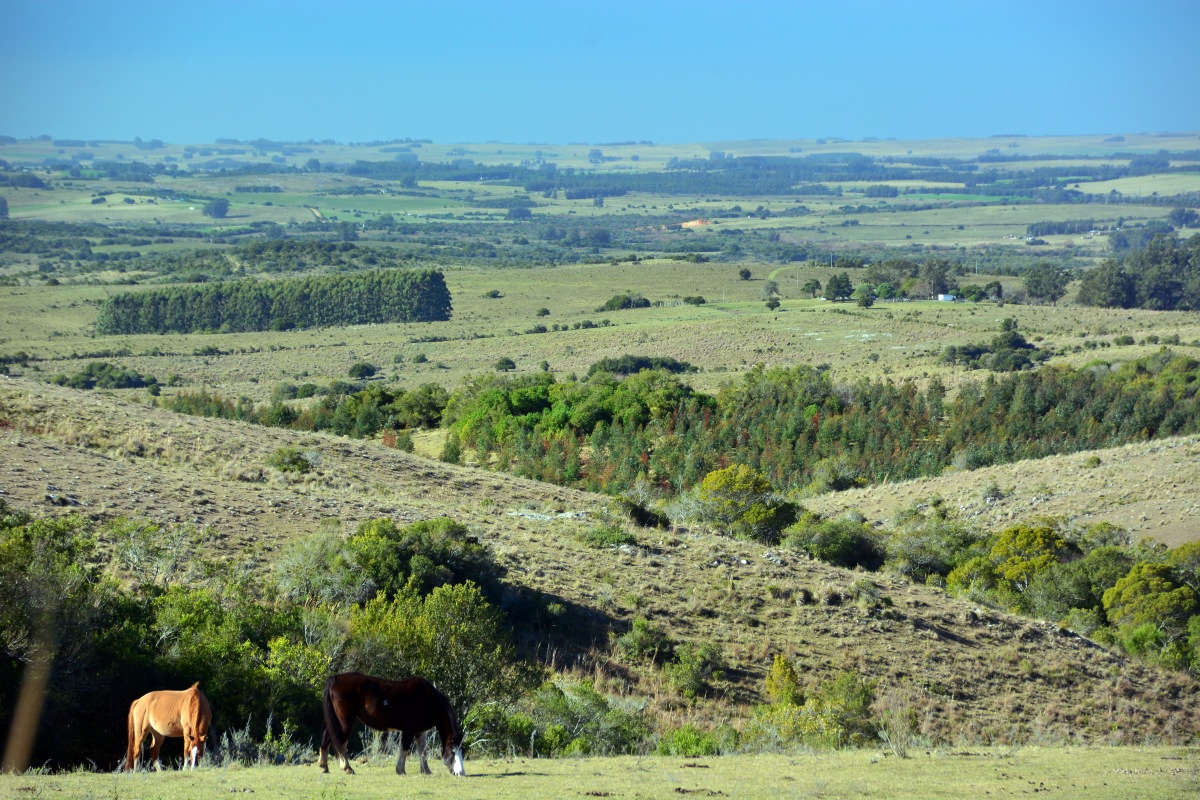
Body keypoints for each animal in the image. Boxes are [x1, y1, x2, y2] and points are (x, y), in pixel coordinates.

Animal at [319, 671, 463, 777]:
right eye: (452, 752)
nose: (460, 773)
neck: (426, 699)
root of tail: (336, 678)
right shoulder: (409, 730)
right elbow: (404, 749)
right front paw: (400, 770)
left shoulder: (420, 732)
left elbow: (422, 751)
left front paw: (426, 771)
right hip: (344, 721)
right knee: (341, 742)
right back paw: (347, 768)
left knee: (327, 738)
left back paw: (324, 767)